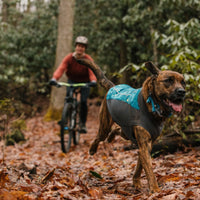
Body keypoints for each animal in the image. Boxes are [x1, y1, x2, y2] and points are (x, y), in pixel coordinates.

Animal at [77, 58, 186, 193]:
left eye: (183, 82)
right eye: (169, 80)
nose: (182, 92)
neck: (152, 106)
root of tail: (113, 87)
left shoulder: (146, 145)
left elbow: (140, 166)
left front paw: (136, 182)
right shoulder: (143, 145)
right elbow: (149, 170)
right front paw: (155, 189)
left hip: (125, 131)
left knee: (116, 129)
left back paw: (111, 138)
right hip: (104, 125)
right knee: (99, 137)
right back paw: (93, 149)